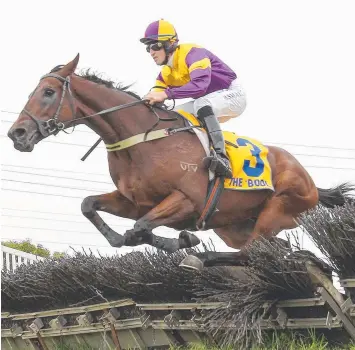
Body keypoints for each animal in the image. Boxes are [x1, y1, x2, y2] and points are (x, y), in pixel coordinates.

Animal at [6, 54, 354, 268]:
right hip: (235, 225)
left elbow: (141, 228)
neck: (139, 139)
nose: (16, 134)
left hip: (279, 207)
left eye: (48, 92)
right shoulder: (135, 202)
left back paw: (200, 258)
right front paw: (122, 237)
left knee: (251, 252)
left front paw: (181, 240)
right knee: (266, 249)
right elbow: (90, 205)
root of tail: (311, 182)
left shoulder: (187, 200)